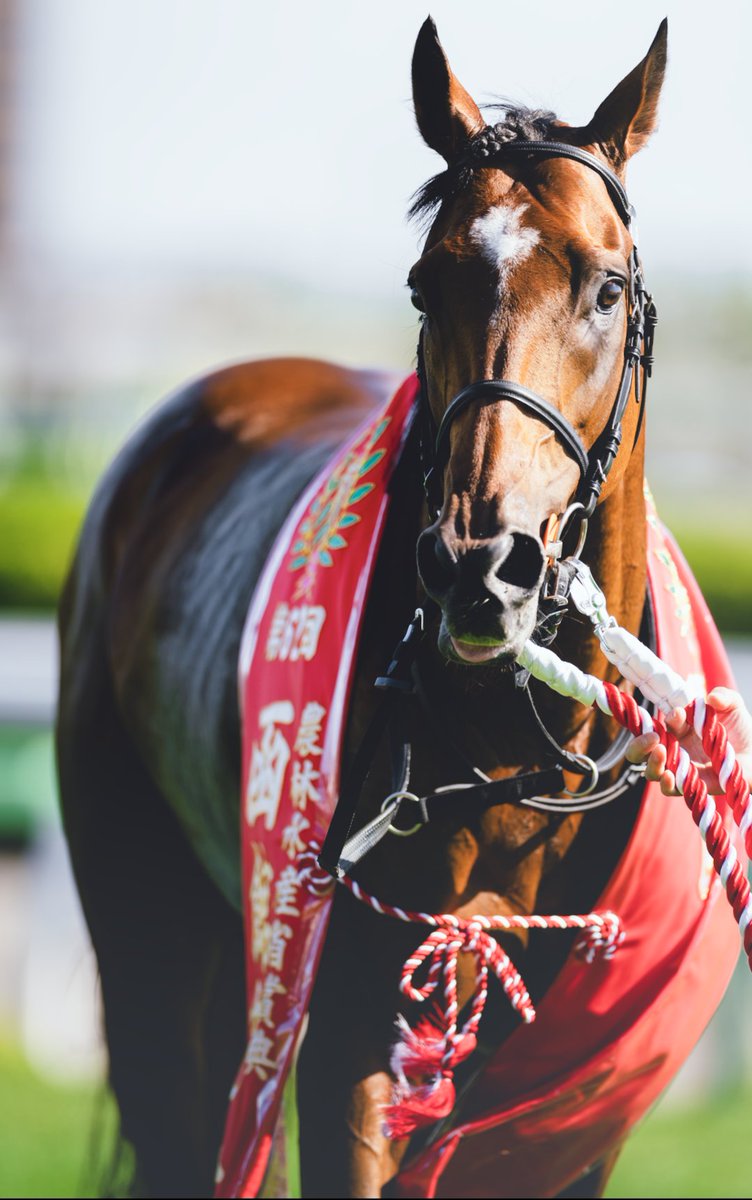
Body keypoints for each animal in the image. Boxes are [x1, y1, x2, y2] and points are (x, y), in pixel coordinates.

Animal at [57, 16, 706, 1199]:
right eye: (423, 285)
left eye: (603, 286)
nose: (477, 561)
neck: (514, 760)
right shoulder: (360, 1025)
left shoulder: (574, 1086)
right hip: (151, 915)